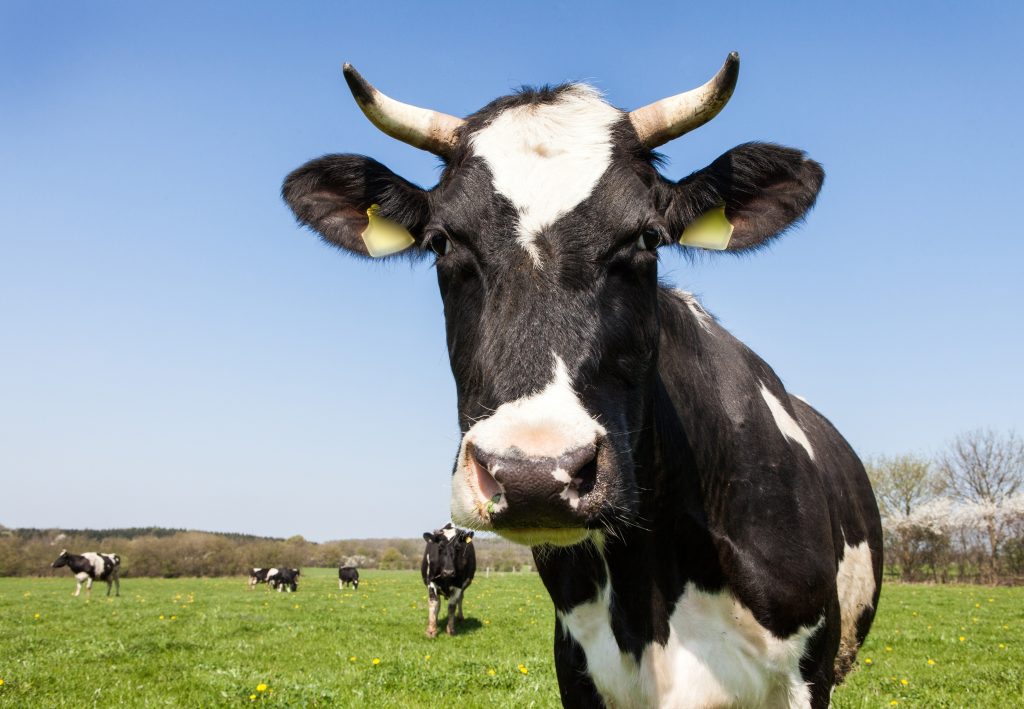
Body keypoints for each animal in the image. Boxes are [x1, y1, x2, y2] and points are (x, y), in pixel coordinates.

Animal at [282, 54, 883, 707]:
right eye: (441, 242)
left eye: (647, 237)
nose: (533, 476)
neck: (651, 592)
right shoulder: (575, 667)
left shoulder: (809, 671)